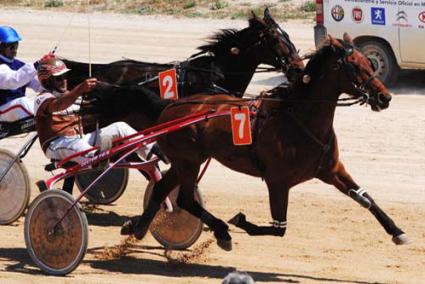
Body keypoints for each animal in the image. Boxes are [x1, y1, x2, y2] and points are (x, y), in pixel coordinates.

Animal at [121, 33, 408, 251]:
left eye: (370, 62)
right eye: (354, 66)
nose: (384, 98)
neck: (300, 119)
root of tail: (170, 106)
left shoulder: (331, 169)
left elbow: (366, 198)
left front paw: (397, 231)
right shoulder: (278, 182)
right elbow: (278, 229)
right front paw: (239, 220)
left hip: (185, 162)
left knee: (162, 190)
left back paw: (138, 226)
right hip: (189, 161)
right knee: (185, 199)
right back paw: (221, 230)